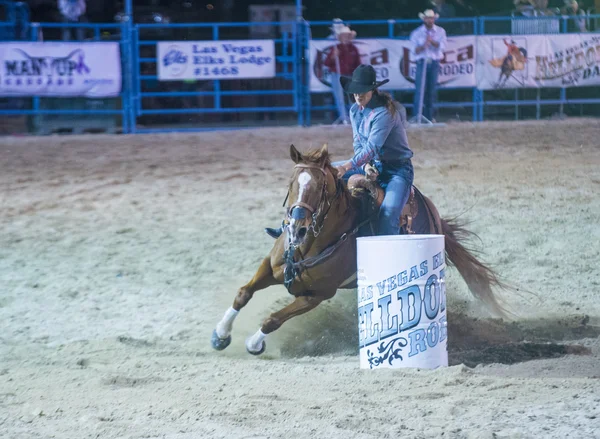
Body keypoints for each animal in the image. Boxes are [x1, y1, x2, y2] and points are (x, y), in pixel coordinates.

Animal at [211, 143, 506, 356]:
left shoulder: (317, 296)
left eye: (320, 187)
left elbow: (272, 319)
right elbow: (243, 293)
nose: (296, 228)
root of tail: (432, 212)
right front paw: (220, 335)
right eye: (291, 183)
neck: (307, 246)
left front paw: (253, 344)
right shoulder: (270, 267)